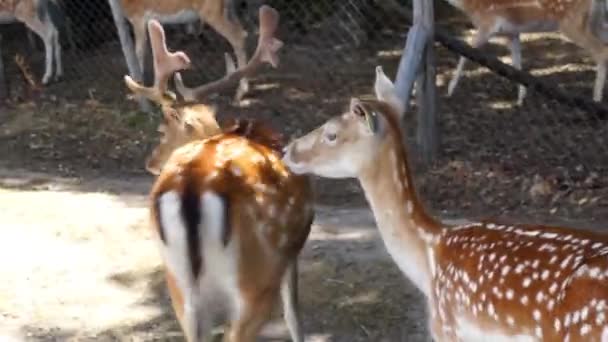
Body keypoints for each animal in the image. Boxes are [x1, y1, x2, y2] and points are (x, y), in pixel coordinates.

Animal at [119, 0, 252, 101]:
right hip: (224, 10)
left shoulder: (139, 17)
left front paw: (135, 92)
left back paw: (240, 92)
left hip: (211, 12)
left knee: (238, 36)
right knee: (242, 31)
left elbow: (138, 52)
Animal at [444, 0, 608, 105]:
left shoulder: (487, 24)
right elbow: (516, 64)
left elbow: (465, 52)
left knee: (601, 51)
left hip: (572, 23)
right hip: (595, 21)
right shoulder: (511, 33)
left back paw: (596, 99)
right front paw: (520, 99)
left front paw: (450, 90)